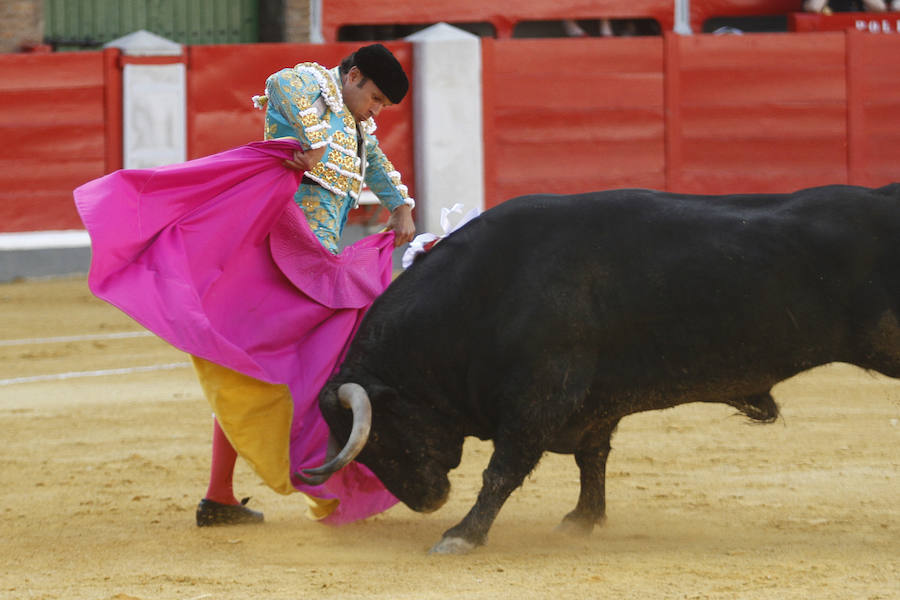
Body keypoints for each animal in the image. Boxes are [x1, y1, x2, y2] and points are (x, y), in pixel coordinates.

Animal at [298, 183, 900, 552]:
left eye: (380, 435)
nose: (426, 501)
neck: (485, 293)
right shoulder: (592, 403)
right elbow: (594, 459)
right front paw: (582, 521)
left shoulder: (539, 399)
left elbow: (502, 471)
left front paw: (461, 535)